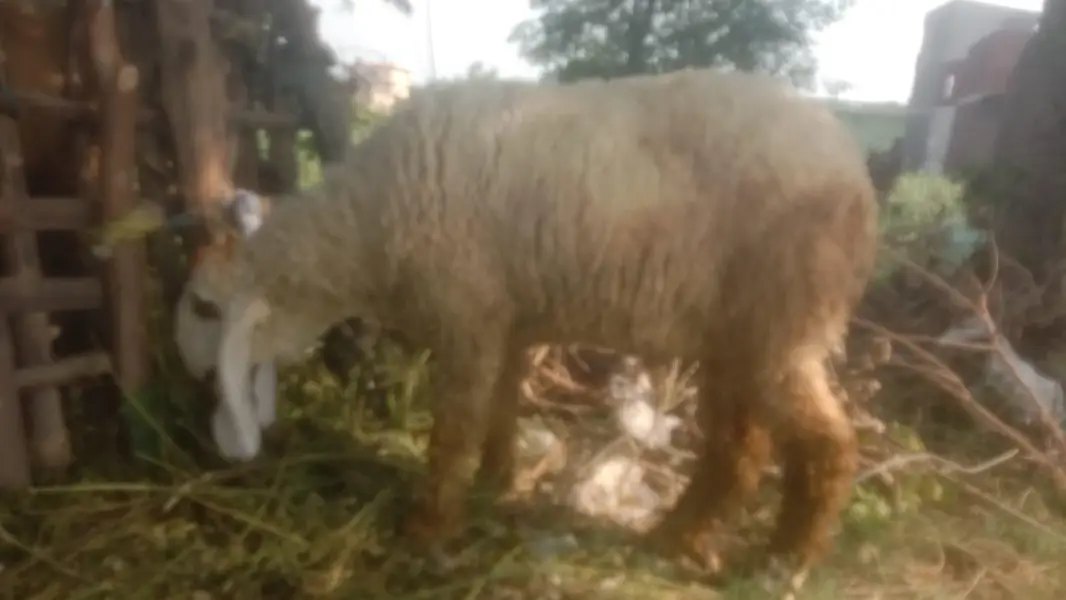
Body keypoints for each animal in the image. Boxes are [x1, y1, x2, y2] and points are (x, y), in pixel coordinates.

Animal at [173, 67, 879, 590]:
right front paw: (497, 482)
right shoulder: (505, 317)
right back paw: (675, 539)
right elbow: (502, 407)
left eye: (206, 308)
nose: (192, 373)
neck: (360, 233)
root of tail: (856, 170)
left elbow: (453, 433)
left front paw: (426, 530)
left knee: (828, 444)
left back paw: (782, 563)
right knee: (738, 451)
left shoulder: (466, 315)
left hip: (783, 321)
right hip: (735, 333)